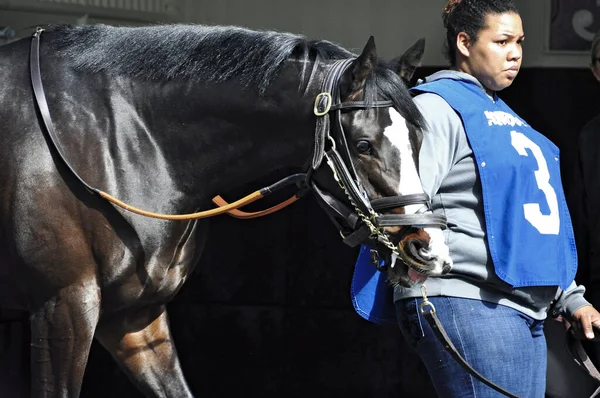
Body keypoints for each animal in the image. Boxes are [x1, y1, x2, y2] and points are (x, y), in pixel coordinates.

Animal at [0, 23, 450, 396]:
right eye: (363, 145)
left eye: (417, 139)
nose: (428, 247)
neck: (117, 138)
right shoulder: (64, 309)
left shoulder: (134, 316)